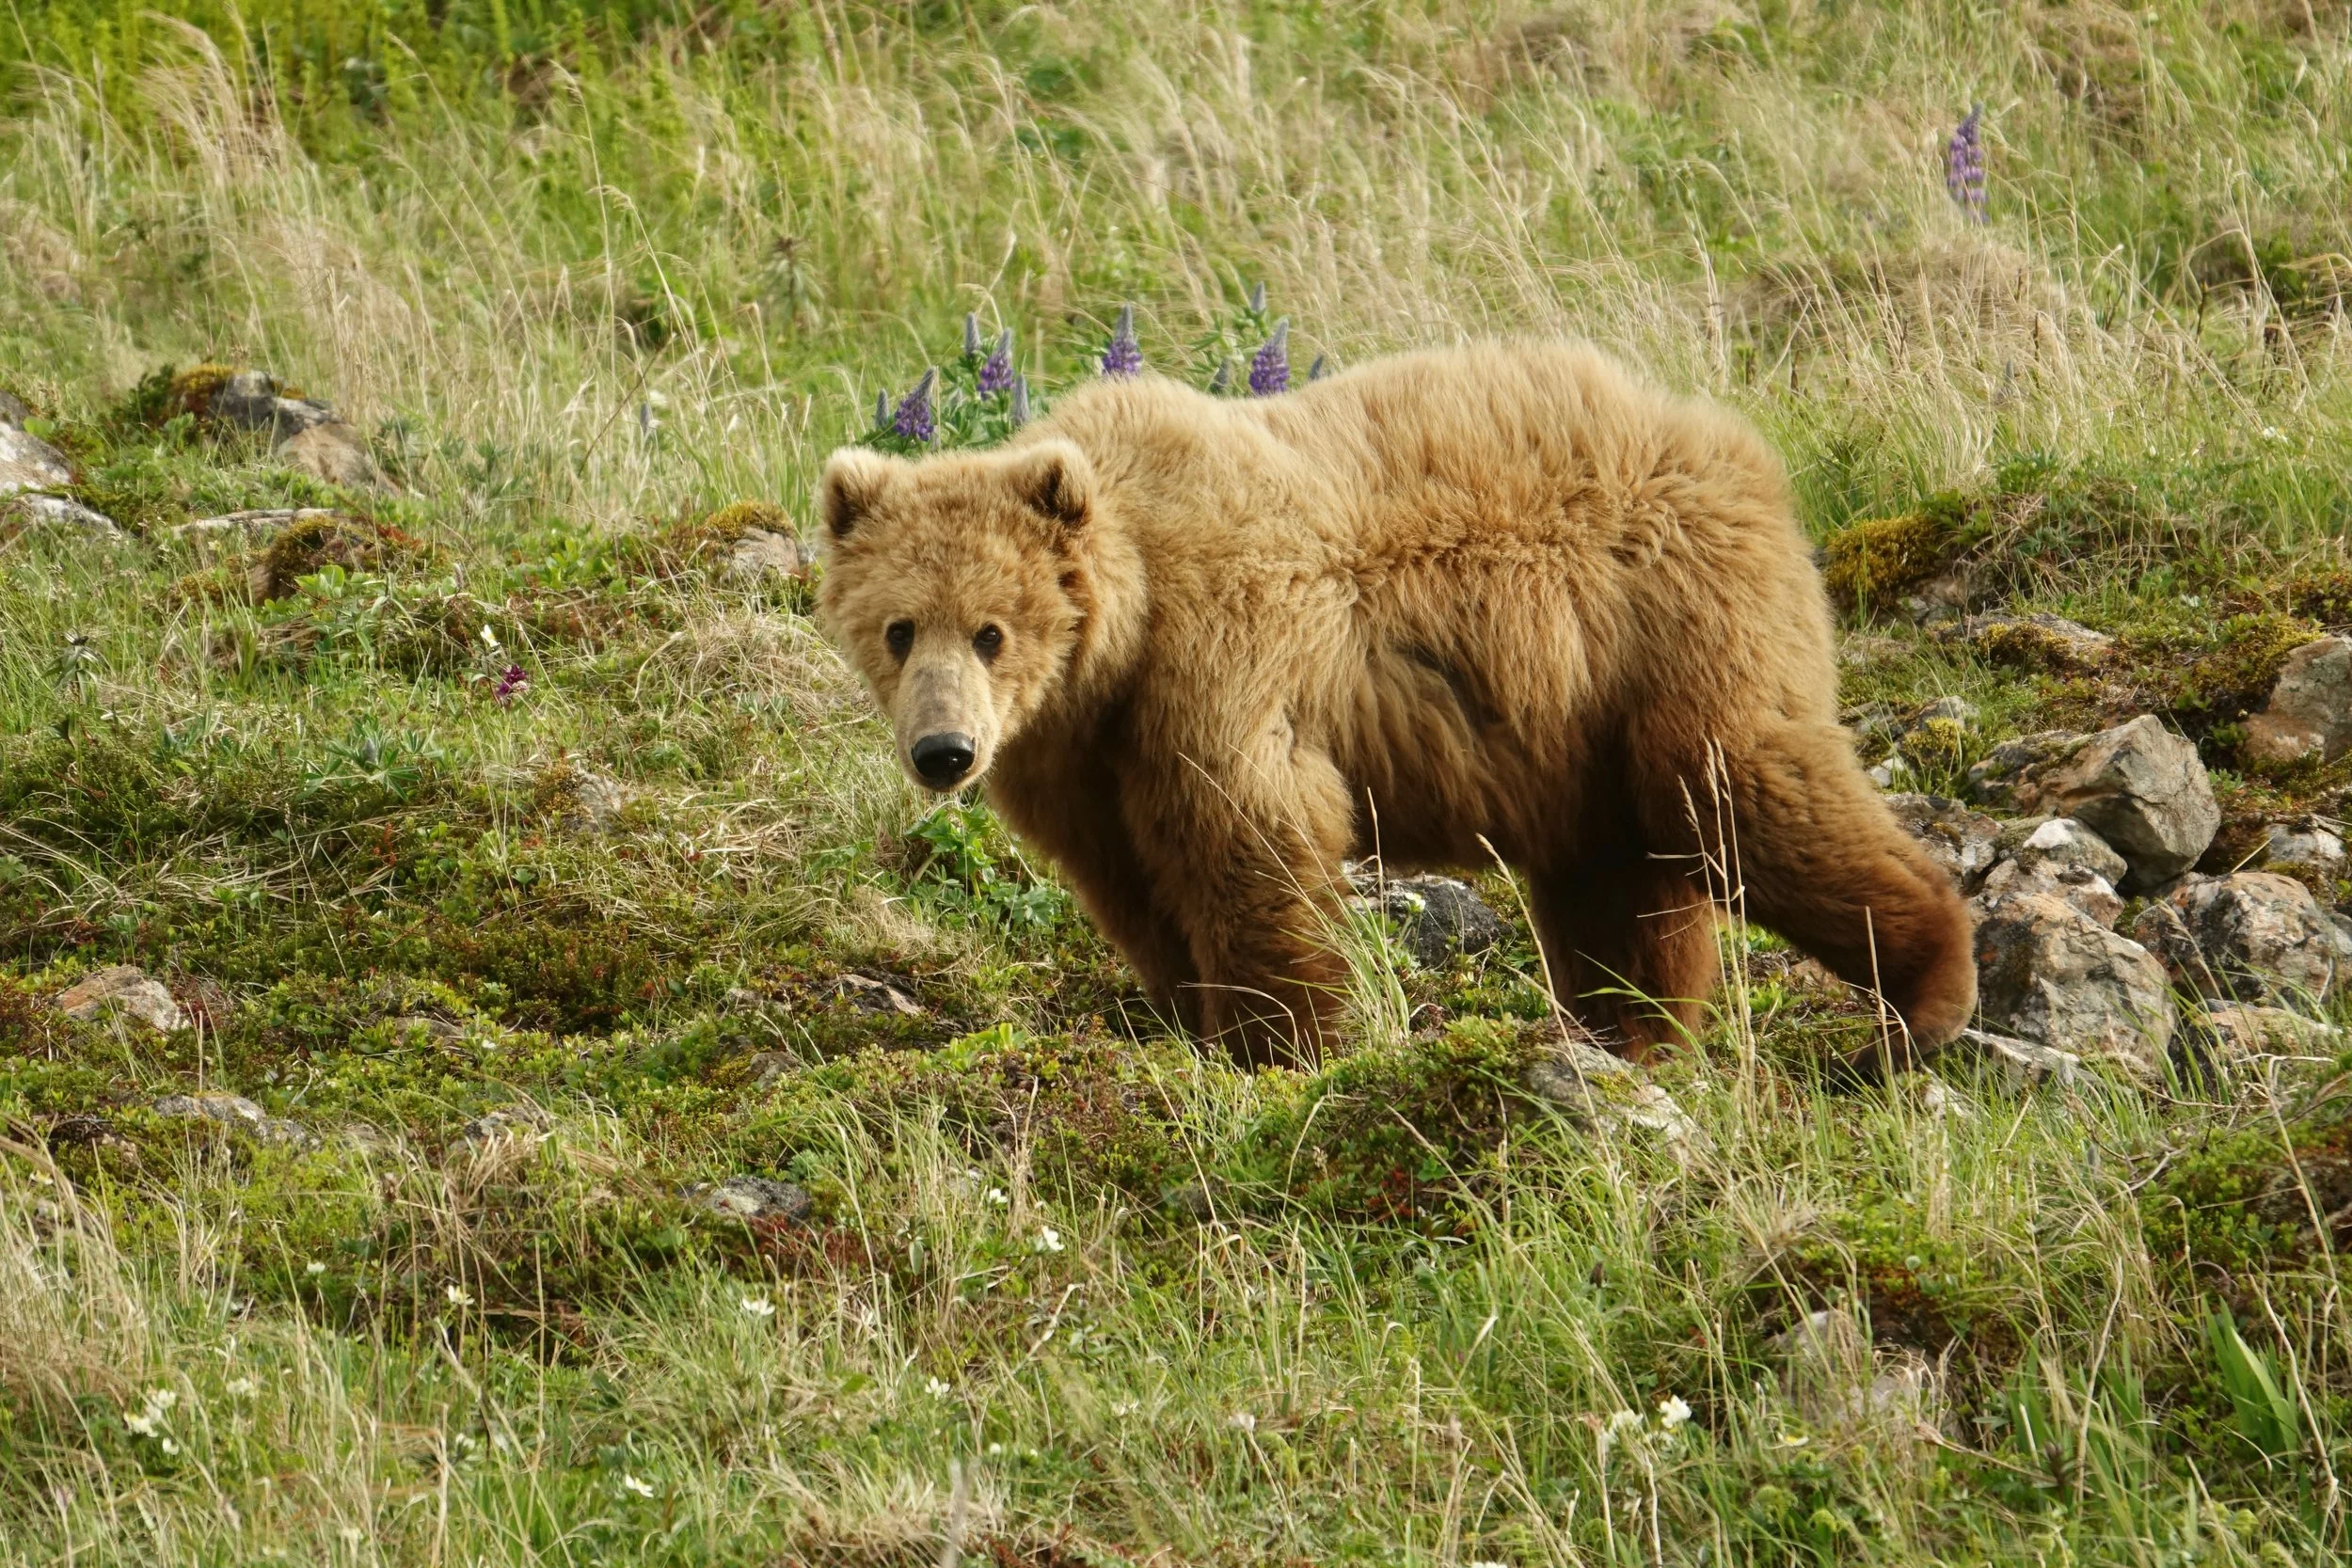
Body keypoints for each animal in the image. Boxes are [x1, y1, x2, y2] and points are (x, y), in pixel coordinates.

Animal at [817, 340, 1977, 1076]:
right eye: (899, 627)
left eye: (991, 629)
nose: (944, 751)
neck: (1118, 638)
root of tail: (1741, 454)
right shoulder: (1082, 760)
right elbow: (1135, 888)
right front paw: (1193, 1024)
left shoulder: (1220, 660)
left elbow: (1255, 842)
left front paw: (1283, 1049)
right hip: (1580, 730)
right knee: (1621, 882)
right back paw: (1632, 1037)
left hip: (1674, 629)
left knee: (1744, 789)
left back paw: (1920, 998)